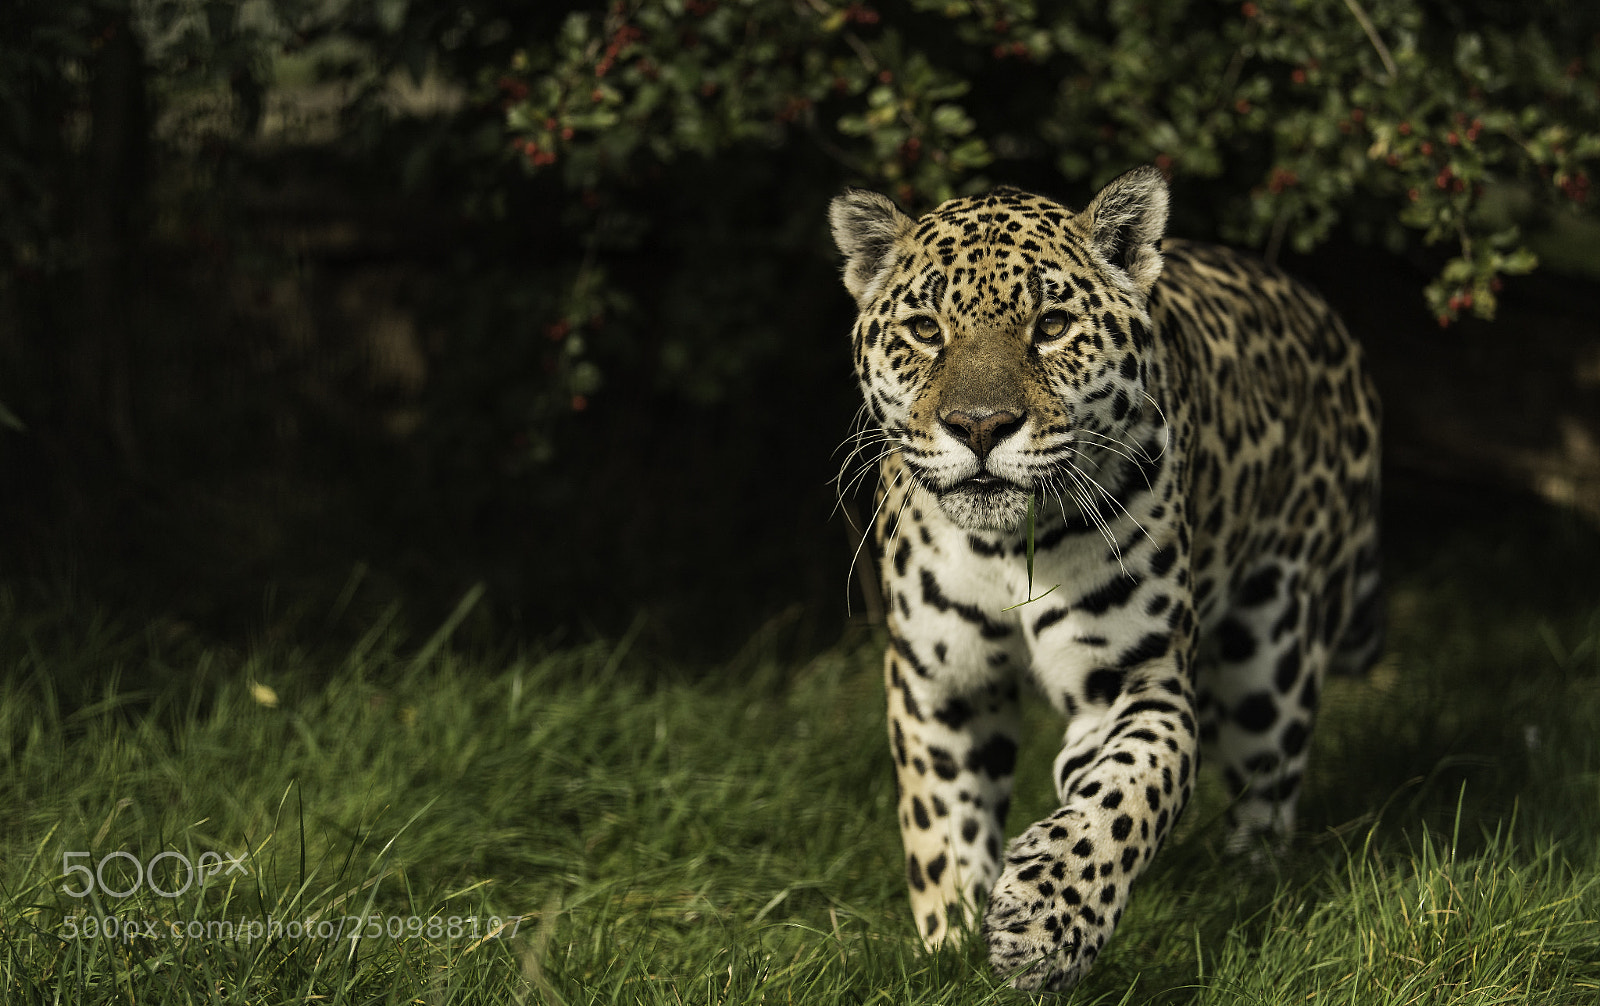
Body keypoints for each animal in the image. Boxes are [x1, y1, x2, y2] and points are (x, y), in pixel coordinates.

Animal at [828, 166, 1382, 991]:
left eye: (1052, 325)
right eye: (925, 330)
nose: (981, 425)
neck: (1005, 549)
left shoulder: (1139, 680)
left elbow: (1125, 796)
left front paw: (1044, 923)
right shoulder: (940, 684)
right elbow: (944, 825)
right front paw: (949, 942)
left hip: (1274, 657)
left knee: (1267, 796)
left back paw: (1258, 889)